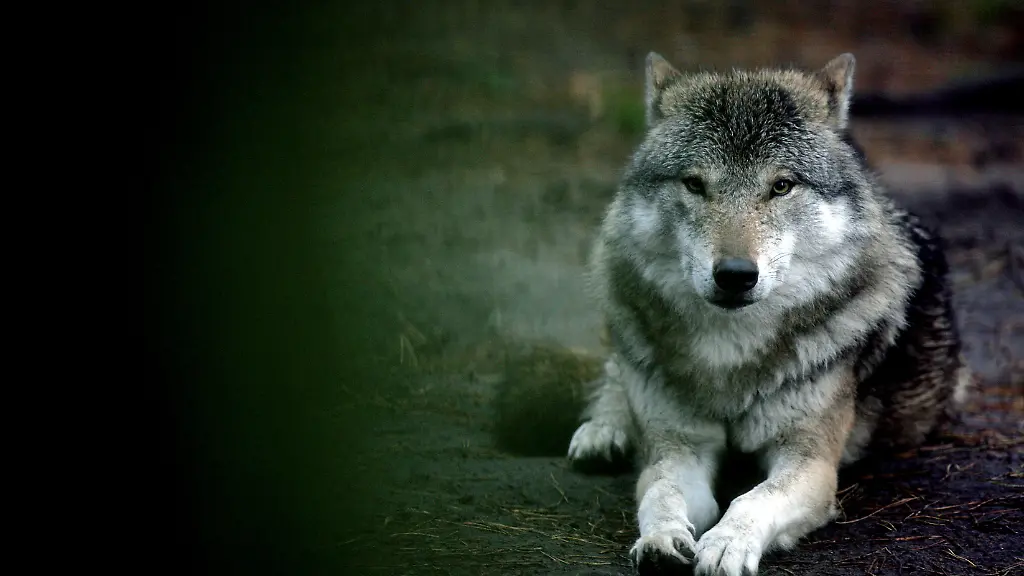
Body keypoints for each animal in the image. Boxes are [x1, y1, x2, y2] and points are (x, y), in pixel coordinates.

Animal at [567, 53, 970, 576]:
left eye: (781, 186)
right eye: (694, 184)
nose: (735, 275)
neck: (729, 354)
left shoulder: (811, 463)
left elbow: (753, 498)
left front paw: (726, 543)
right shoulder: (681, 448)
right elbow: (660, 491)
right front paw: (660, 538)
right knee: (619, 374)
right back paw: (604, 432)